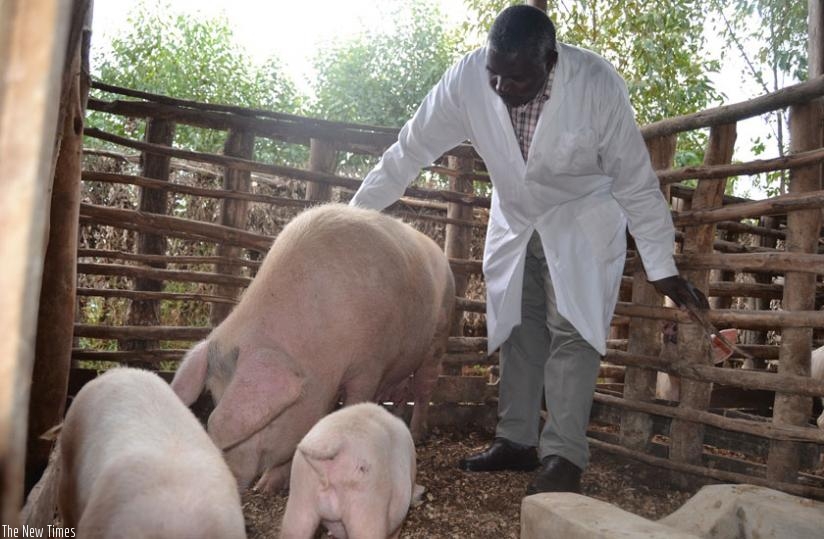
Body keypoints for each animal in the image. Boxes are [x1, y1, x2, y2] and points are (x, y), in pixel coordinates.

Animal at [171, 205, 454, 496]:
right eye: (215, 397)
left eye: (270, 421)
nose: (233, 479)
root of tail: (440, 255)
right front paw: (267, 487)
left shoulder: (369, 366)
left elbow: (353, 404)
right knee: (399, 394)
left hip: (439, 334)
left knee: (423, 389)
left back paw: (417, 434)